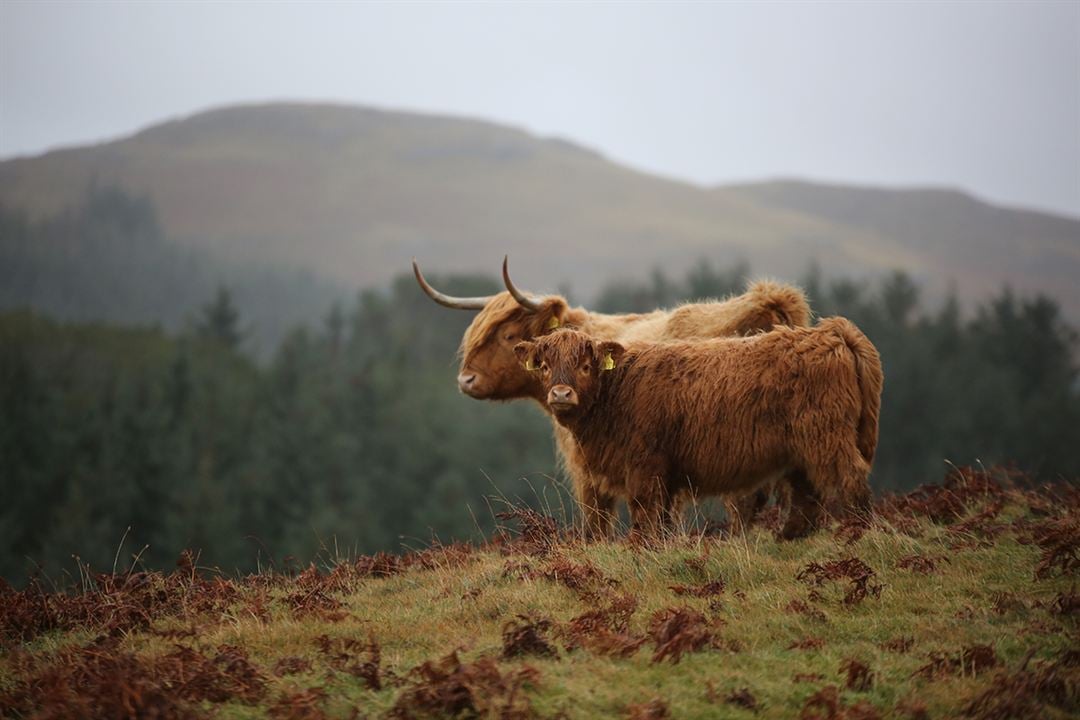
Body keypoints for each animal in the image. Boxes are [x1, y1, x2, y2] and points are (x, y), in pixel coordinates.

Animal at [412, 257, 812, 535]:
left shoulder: (589, 470)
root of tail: (768, 304)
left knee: (744, 505)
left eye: (509, 336)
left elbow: (597, 525)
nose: (466, 379)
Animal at [516, 321, 885, 539]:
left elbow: (644, 512)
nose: (560, 394)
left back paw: (859, 532)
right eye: (544, 366)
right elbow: (662, 518)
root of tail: (831, 332)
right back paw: (787, 538)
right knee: (806, 495)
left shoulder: (644, 466)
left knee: (850, 479)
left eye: (585, 365)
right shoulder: (665, 475)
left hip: (826, 436)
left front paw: (640, 548)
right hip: (800, 450)